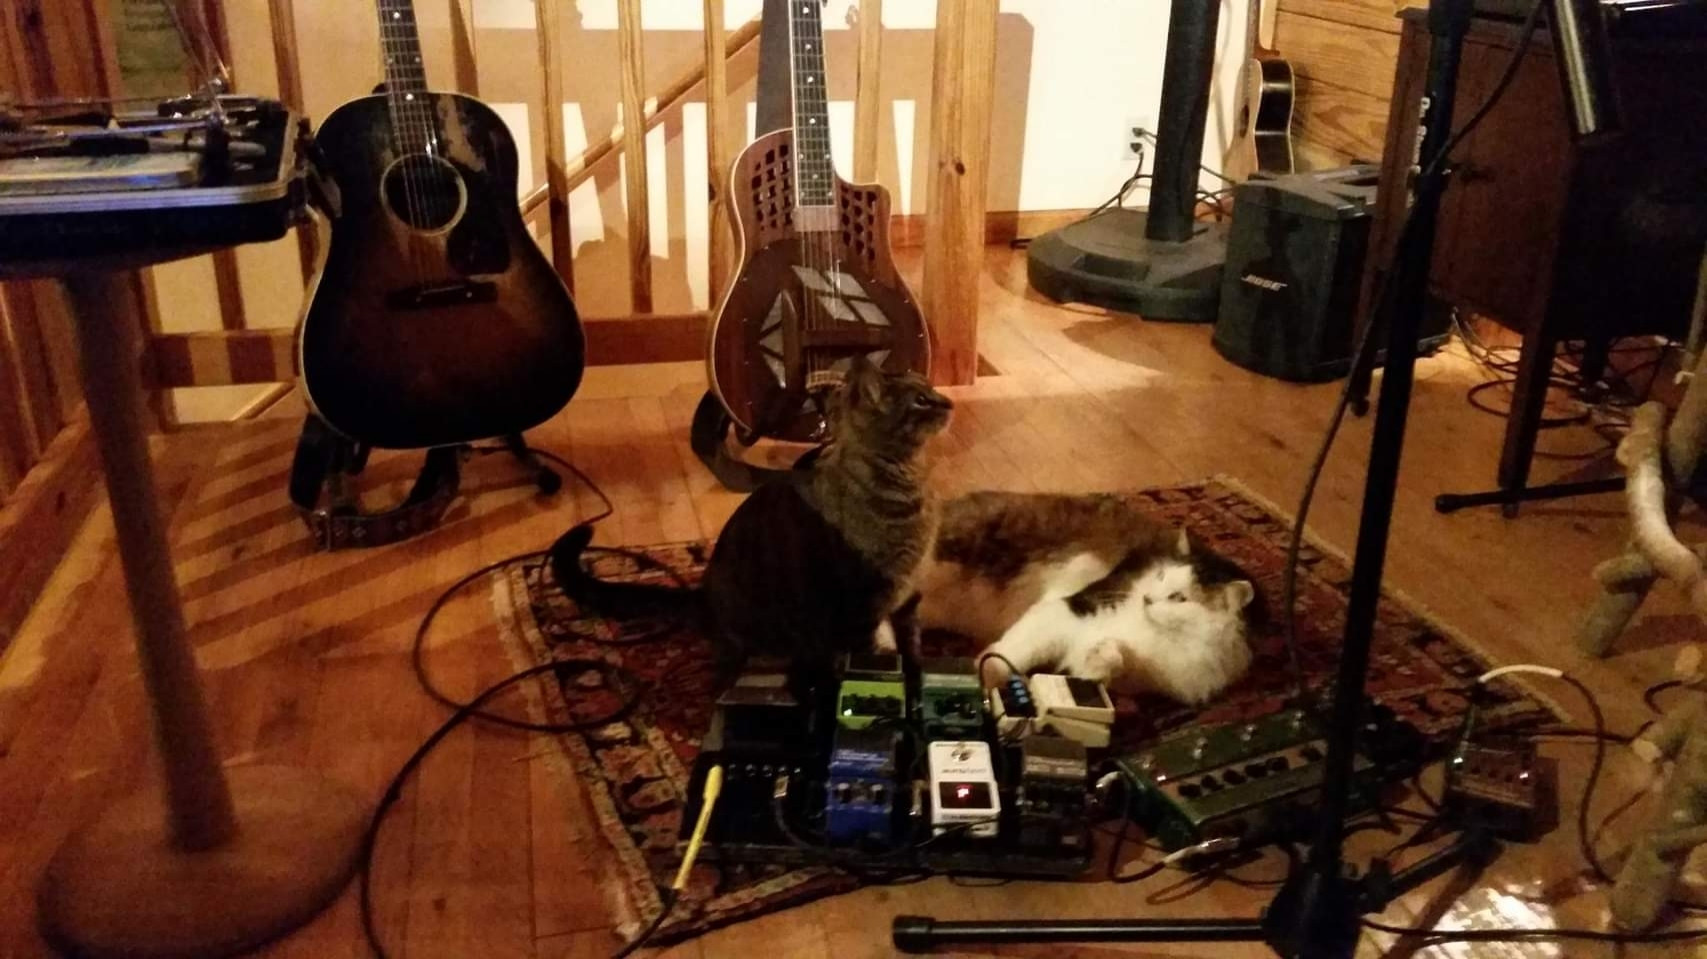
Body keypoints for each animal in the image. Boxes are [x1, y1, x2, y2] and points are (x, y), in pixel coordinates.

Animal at [921, 491, 1270, 703]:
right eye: (1160, 576)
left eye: (1180, 598)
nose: (1147, 600)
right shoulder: (1066, 611)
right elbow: (1007, 654)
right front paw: (987, 675)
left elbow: (1105, 664)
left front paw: (1099, 659)